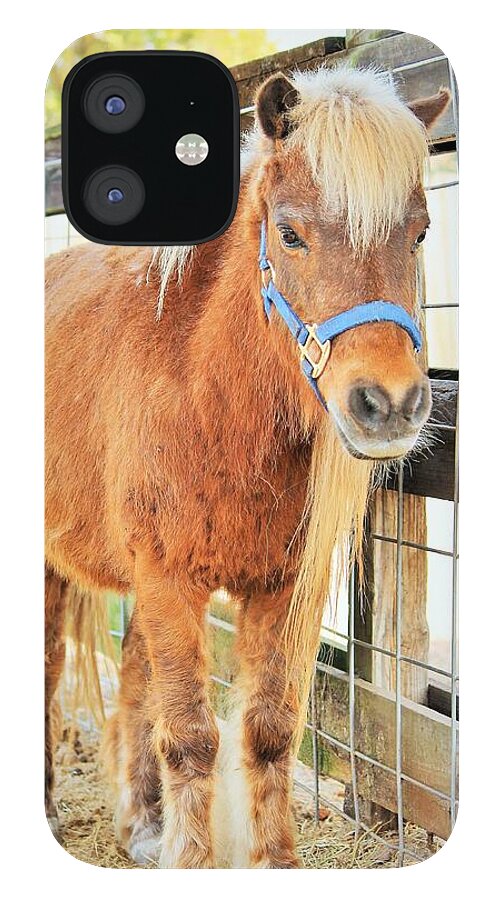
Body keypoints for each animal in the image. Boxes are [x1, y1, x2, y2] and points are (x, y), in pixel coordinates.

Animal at [45, 65, 450, 868]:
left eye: (419, 231)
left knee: (134, 675)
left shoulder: (282, 589)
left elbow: (266, 732)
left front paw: (270, 861)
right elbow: (191, 739)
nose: (388, 404)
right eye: (289, 234)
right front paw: (193, 860)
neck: (208, 396)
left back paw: (142, 824)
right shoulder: (168, 579)